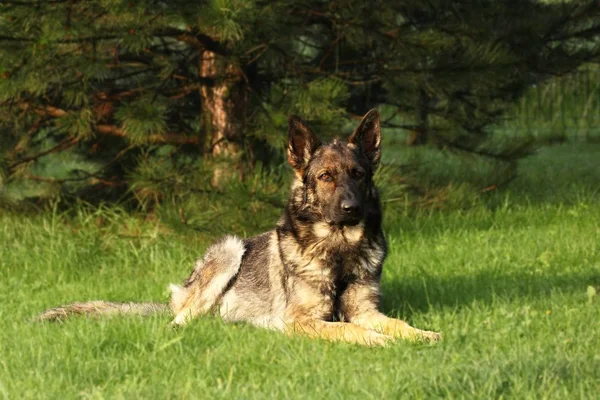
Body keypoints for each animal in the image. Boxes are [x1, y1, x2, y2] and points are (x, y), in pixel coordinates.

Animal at [38, 110, 440, 346]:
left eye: (358, 174)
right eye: (326, 177)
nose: (351, 208)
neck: (339, 251)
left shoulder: (367, 310)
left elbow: (397, 324)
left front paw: (422, 334)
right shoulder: (302, 320)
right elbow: (349, 328)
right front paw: (379, 341)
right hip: (230, 250)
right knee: (181, 321)